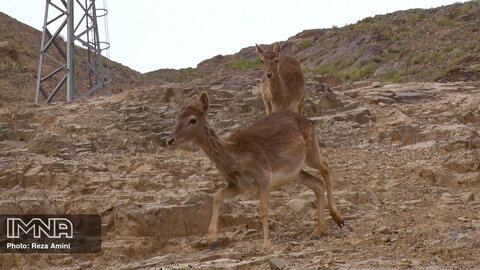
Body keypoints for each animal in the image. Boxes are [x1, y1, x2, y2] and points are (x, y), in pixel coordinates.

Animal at [167, 93, 344, 249]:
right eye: (177, 118)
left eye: (192, 120)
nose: (170, 140)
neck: (235, 158)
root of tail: (309, 121)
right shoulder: (238, 185)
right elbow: (217, 196)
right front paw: (212, 240)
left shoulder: (263, 176)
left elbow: (263, 209)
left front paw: (266, 243)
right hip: (295, 172)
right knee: (317, 183)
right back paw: (317, 231)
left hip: (311, 149)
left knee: (325, 167)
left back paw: (338, 218)